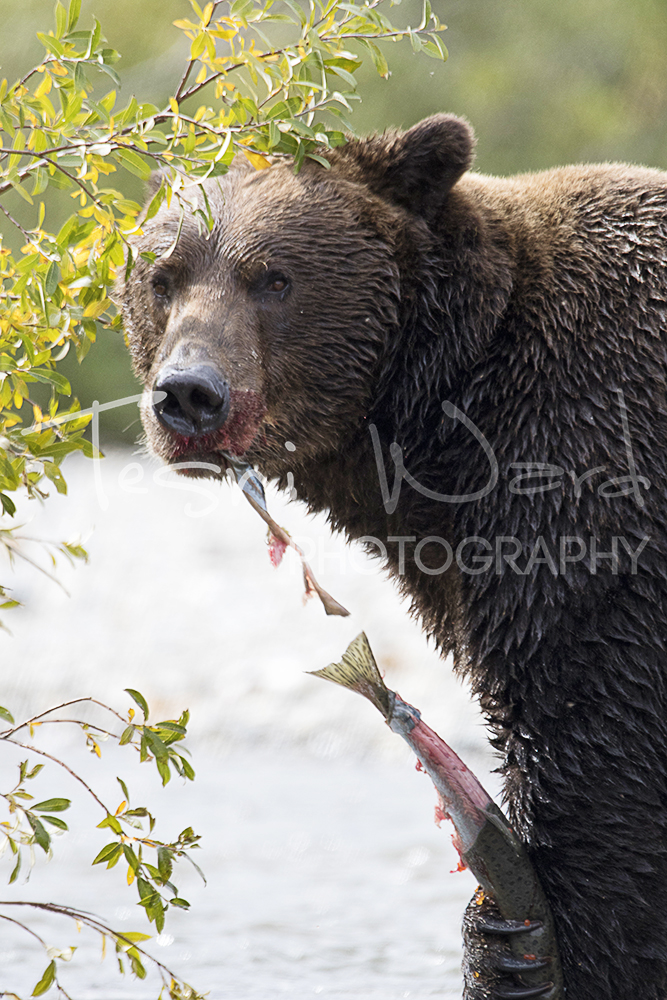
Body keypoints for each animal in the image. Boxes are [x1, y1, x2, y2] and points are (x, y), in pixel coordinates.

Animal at [119, 114, 667, 1000]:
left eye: (275, 278)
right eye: (163, 276)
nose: (190, 395)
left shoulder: (587, 489)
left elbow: (598, 763)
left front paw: (531, 947)